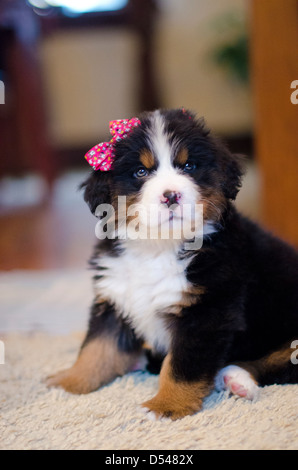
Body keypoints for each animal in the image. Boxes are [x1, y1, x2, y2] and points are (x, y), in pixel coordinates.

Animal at [47, 108, 298, 420]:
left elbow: (181, 367)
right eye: (141, 172)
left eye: (189, 166)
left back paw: (235, 380)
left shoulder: (206, 312)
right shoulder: (115, 298)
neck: (158, 248)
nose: (171, 195)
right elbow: (96, 349)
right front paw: (68, 381)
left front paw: (166, 406)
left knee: (275, 364)